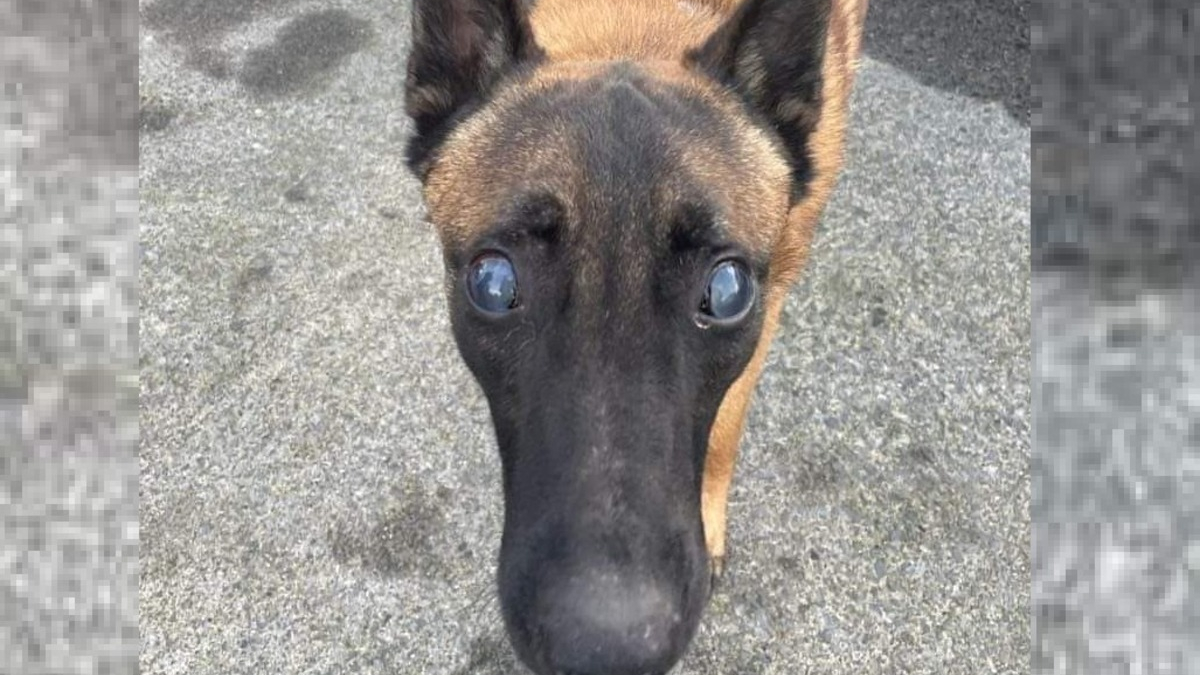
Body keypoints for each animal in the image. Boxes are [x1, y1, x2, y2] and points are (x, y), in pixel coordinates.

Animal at [403, 0, 864, 667]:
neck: (629, 25)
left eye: (727, 291)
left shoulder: (774, 293)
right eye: (493, 284)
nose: (605, 649)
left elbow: (726, 430)